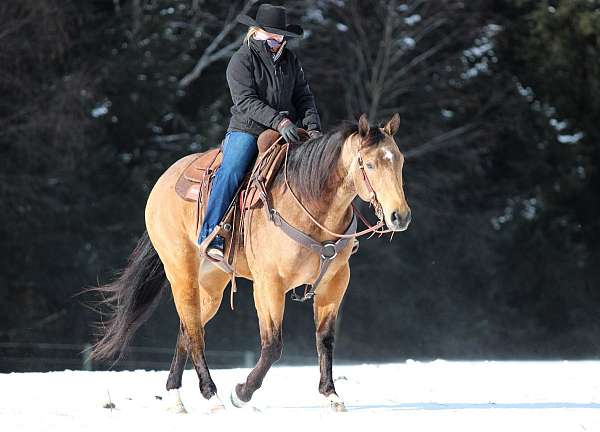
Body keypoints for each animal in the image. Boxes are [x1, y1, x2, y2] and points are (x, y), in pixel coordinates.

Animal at [89, 113, 410, 414]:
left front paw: (331, 395)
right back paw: (213, 396)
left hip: (212, 286)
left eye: (400, 161)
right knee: (194, 333)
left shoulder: (335, 283)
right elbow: (273, 346)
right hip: (182, 273)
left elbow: (325, 339)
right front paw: (241, 393)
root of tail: (163, 182)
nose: (400, 216)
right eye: (369, 165)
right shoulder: (269, 284)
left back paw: (176, 398)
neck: (308, 203)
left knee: (186, 329)